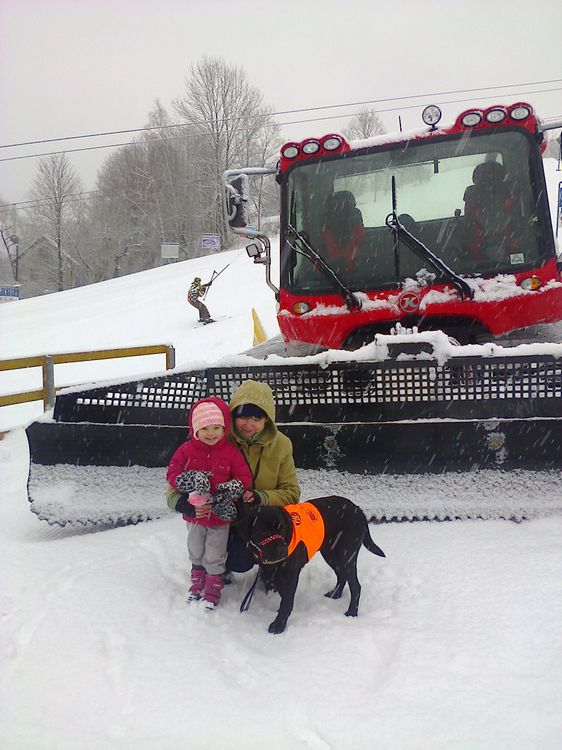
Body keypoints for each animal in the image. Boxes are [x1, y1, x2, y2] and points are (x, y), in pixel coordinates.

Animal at [243, 500, 382, 636]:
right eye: (264, 532)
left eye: (282, 529)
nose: (283, 551)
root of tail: (359, 510)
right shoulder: (271, 570)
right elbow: (284, 595)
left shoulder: (291, 573)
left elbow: (286, 600)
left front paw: (279, 625)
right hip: (331, 553)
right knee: (342, 576)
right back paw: (335, 594)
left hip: (346, 554)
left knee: (356, 586)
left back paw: (352, 612)